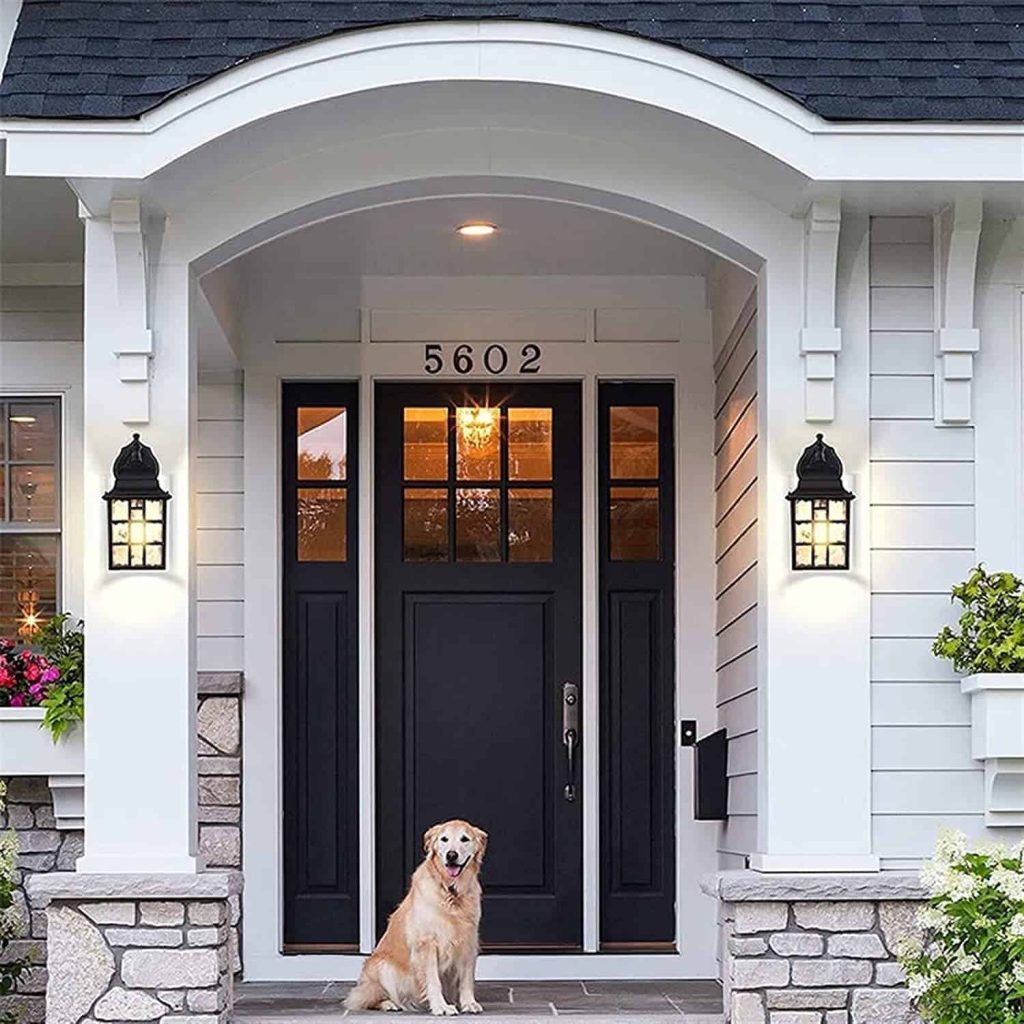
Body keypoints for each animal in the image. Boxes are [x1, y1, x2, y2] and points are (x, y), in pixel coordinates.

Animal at [344, 819, 487, 1011]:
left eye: (465, 839)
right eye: (444, 839)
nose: (451, 855)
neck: (450, 891)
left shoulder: (468, 940)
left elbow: (466, 979)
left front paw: (469, 1003)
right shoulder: (427, 943)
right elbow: (433, 980)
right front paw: (440, 1006)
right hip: (382, 967)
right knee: (369, 998)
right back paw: (389, 1004)